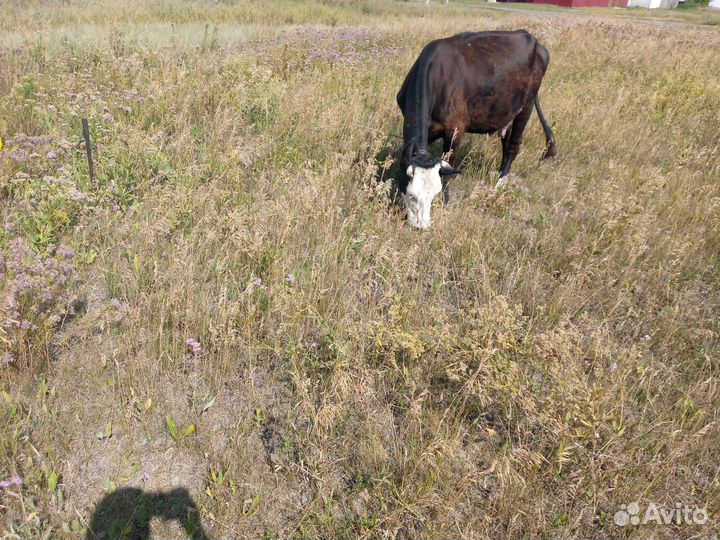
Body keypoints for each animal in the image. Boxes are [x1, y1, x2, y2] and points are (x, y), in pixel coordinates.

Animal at [396, 30, 556, 229]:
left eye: (434, 196)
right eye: (412, 195)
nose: (422, 226)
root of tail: (529, 36)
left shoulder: (456, 129)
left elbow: (448, 168)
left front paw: (446, 203)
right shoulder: (427, 131)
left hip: (526, 107)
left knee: (513, 147)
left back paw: (499, 184)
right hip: (508, 111)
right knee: (506, 144)